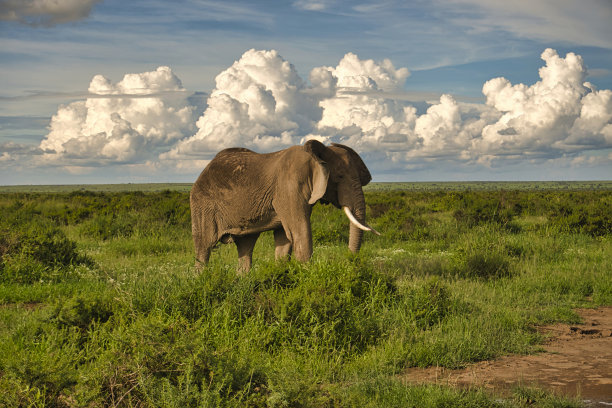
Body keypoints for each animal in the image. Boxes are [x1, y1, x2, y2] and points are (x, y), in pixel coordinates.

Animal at [190, 139, 378, 272]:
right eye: (339, 176)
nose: (348, 262)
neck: (314, 157)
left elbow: (284, 239)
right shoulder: (289, 189)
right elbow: (300, 233)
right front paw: (307, 276)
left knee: (245, 247)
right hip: (202, 205)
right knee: (203, 248)